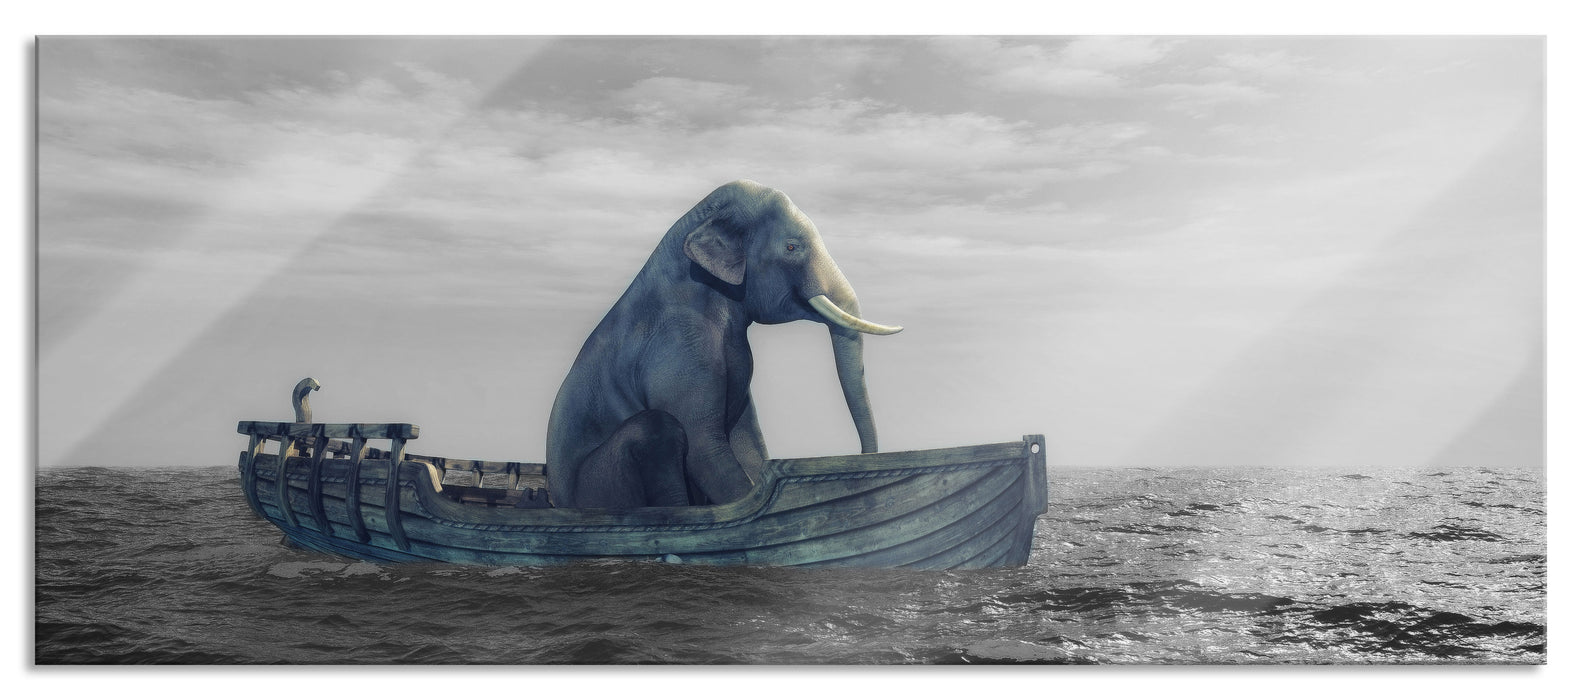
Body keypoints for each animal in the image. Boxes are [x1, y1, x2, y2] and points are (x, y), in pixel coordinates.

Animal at [538, 180, 902, 510]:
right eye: (791, 248)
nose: (864, 459)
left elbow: (747, 440)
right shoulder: (679, 349)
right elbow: (705, 447)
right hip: (598, 485)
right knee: (657, 426)